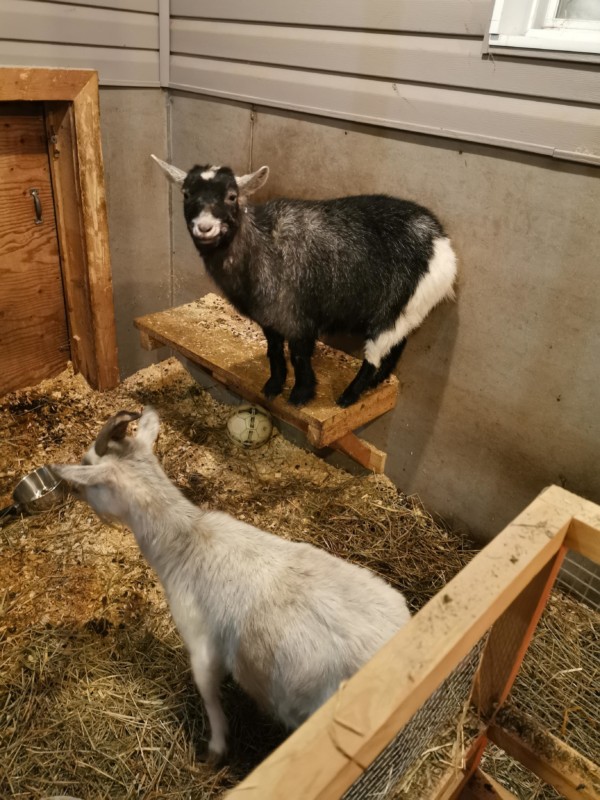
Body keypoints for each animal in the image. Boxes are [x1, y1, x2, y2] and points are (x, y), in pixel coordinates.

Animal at [53, 408, 411, 762]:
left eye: (86, 464)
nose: (73, 491)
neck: (185, 539)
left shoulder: (200, 640)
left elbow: (208, 693)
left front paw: (215, 749)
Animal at [152, 156, 457, 408]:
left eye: (231, 196)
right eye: (186, 194)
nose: (205, 227)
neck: (261, 245)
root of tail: (441, 244)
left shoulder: (298, 316)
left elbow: (299, 355)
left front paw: (300, 395)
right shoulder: (270, 316)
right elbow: (274, 351)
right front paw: (273, 387)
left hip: (393, 310)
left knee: (375, 354)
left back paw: (348, 397)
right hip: (406, 311)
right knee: (398, 345)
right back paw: (376, 382)